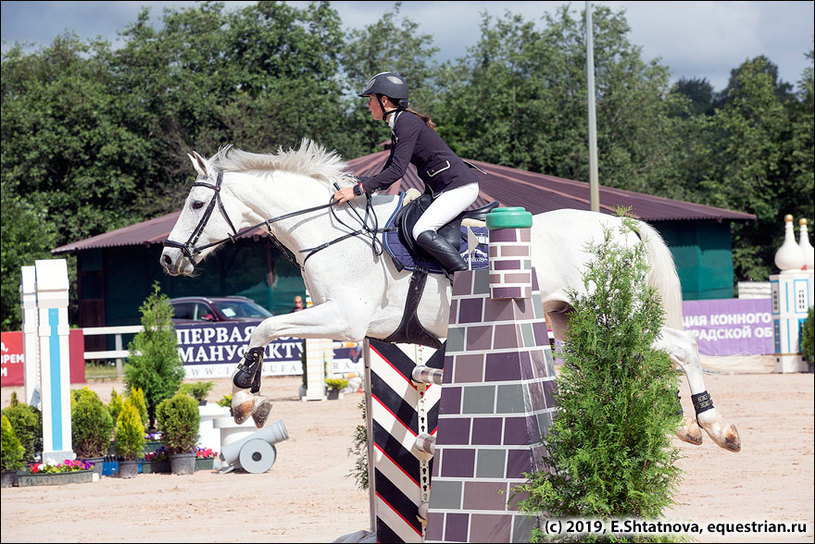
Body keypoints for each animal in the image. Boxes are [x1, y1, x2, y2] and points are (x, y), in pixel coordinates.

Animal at [159, 138, 740, 452]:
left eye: (195, 204)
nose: (167, 259)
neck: (328, 231)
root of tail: (621, 226)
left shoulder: (344, 320)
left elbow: (264, 325)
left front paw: (244, 397)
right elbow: (267, 329)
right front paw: (249, 399)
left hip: (610, 314)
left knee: (680, 347)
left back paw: (713, 426)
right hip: (571, 319)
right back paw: (684, 427)